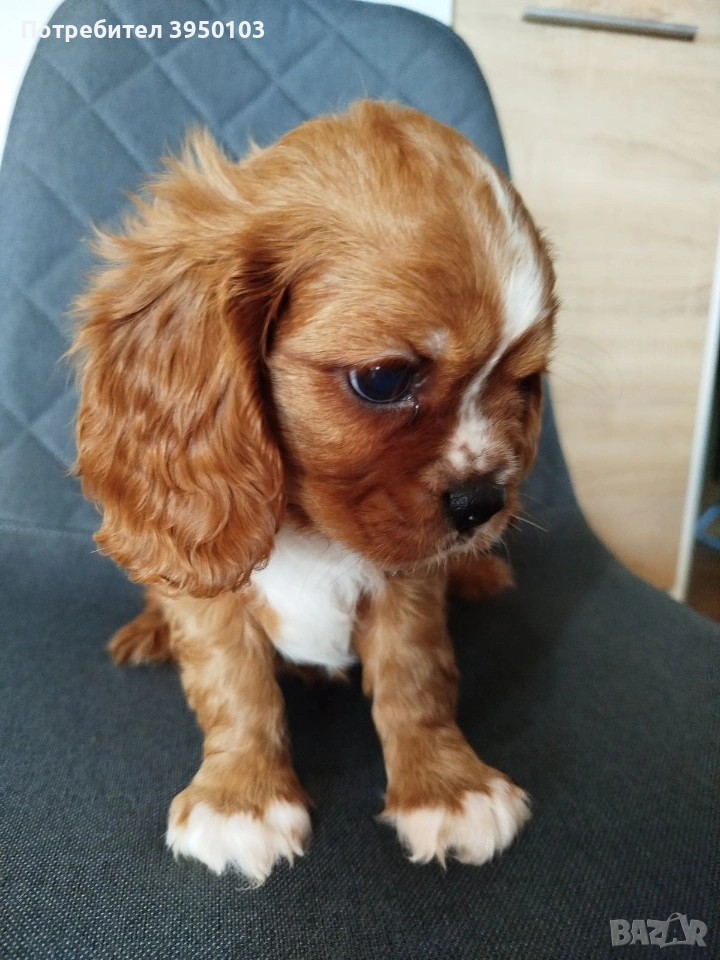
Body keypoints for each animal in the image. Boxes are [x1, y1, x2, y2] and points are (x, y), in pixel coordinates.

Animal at [71, 100, 557, 884]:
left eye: (527, 381)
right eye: (383, 379)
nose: (484, 502)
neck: (311, 529)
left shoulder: (409, 584)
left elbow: (416, 678)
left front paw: (446, 787)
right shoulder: (210, 597)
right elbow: (234, 686)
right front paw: (241, 797)